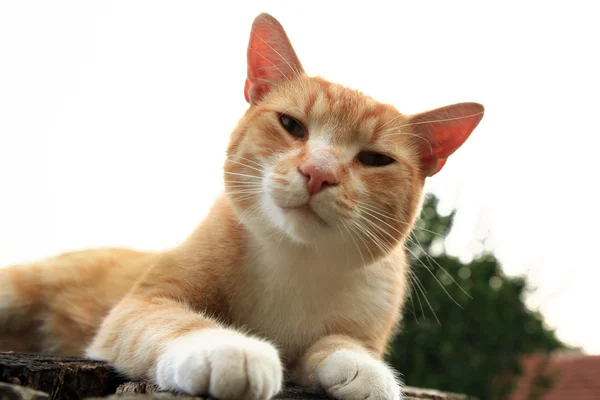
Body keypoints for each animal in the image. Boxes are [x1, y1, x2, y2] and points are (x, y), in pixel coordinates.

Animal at [0, 12, 482, 400]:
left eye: (375, 159)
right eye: (291, 125)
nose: (319, 172)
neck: (294, 259)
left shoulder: (357, 326)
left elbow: (339, 344)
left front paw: (367, 372)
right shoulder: (142, 303)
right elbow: (169, 321)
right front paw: (229, 348)